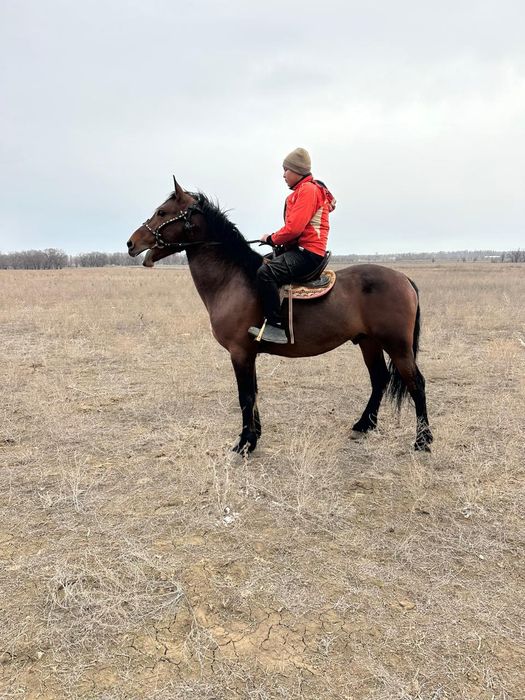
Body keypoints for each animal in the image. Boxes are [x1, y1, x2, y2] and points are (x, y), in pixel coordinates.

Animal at [127, 178, 433, 453]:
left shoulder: (239, 352)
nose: (131, 243)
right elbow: (254, 393)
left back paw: (423, 440)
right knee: (379, 379)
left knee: (416, 383)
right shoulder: (248, 353)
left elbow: (245, 395)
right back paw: (363, 426)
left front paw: (244, 444)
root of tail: (404, 278)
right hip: (368, 342)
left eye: (162, 212)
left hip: (397, 346)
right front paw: (254, 436)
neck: (233, 279)